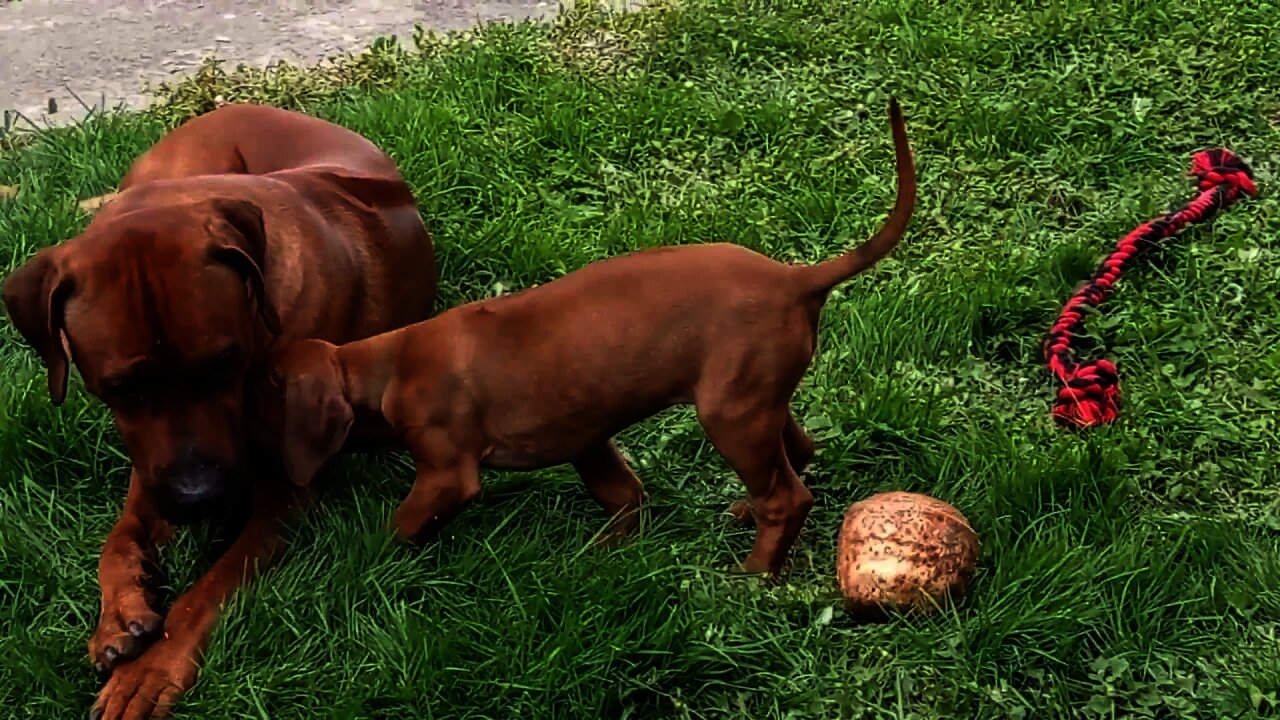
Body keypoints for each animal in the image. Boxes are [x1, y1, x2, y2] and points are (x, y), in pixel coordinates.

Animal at [1, 102, 435, 717]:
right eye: (121, 388)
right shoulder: (152, 462)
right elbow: (120, 535)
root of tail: (235, 106)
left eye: (223, 363)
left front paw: (150, 667)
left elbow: (207, 590)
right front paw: (119, 610)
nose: (198, 498)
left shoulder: (284, 495)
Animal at [264, 96, 916, 576]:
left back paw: (753, 574)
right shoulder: (585, 437)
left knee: (787, 496)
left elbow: (402, 524)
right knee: (799, 455)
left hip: (730, 412)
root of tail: (795, 278)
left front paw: (365, 566)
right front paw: (605, 556)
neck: (384, 364)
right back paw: (744, 513)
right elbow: (623, 494)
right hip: (755, 398)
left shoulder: (447, 472)